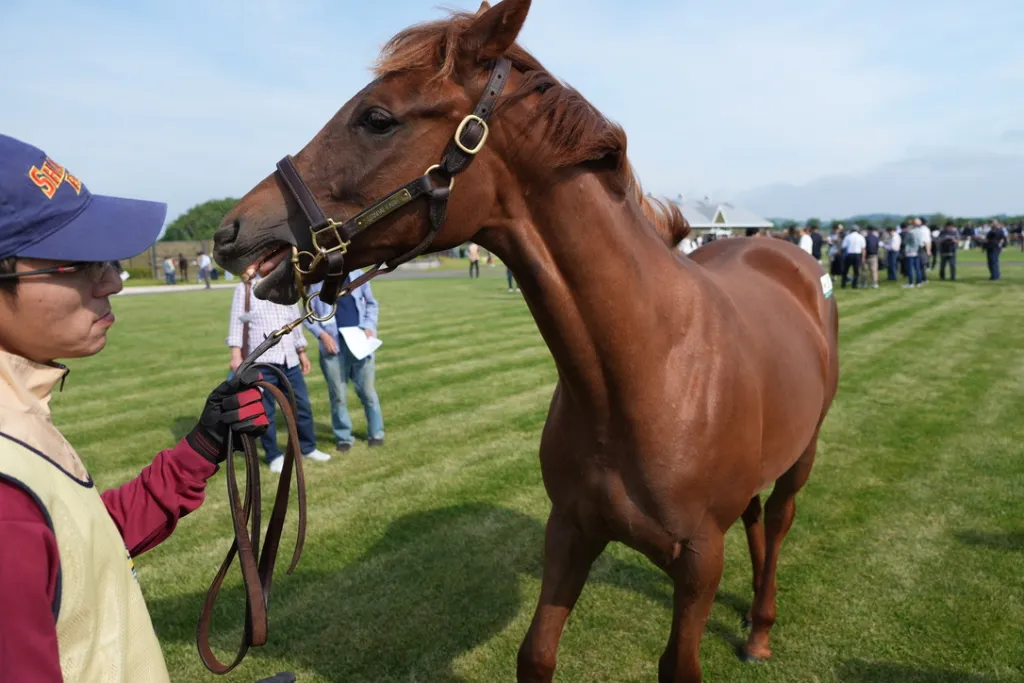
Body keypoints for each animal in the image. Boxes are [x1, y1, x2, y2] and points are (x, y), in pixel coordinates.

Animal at [212, 1, 840, 680]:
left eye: (377, 118)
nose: (231, 232)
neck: (652, 372)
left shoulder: (698, 562)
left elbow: (680, 663)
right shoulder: (569, 532)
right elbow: (535, 654)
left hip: (801, 458)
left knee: (777, 521)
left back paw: (760, 629)